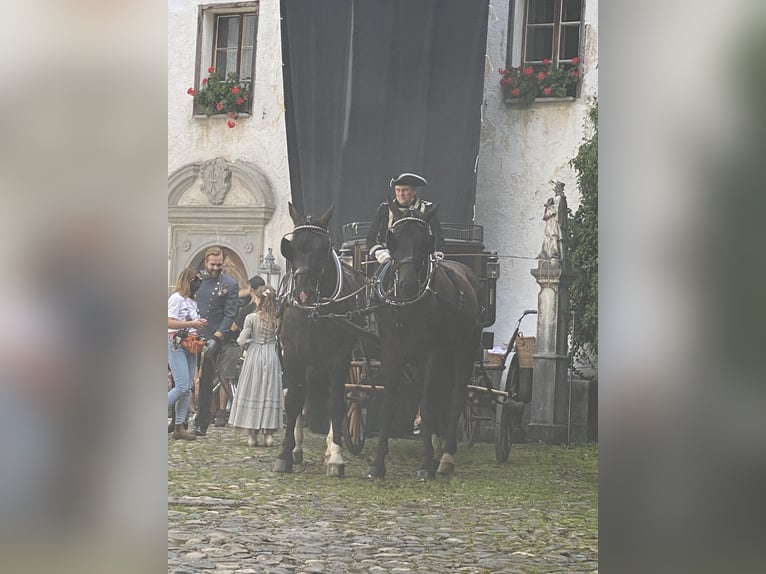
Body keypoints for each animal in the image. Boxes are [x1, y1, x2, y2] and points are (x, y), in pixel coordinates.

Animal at [274, 202, 370, 476]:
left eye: (323, 248)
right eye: (291, 247)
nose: (304, 293)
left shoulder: (339, 359)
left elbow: (335, 403)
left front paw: (336, 457)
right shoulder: (292, 356)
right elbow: (293, 401)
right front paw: (285, 454)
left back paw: (330, 448)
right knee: (301, 396)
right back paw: (297, 448)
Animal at [368, 205, 484, 484]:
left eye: (425, 241)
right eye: (392, 239)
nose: (407, 285)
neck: (408, 306)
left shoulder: (433, 352)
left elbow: (429, 403)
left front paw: (424, 465)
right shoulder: (392, 351)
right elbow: (389, 401)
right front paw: (377, 463)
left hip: (463, 351)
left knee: (455, 395)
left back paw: (446, 457)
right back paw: (437, 449)